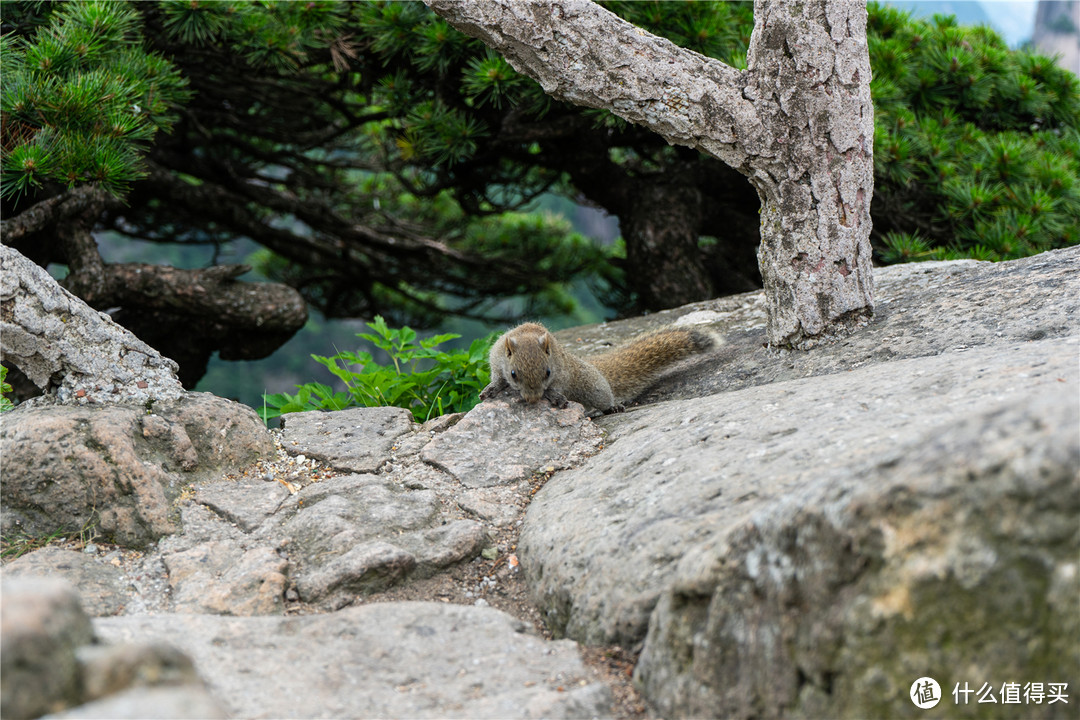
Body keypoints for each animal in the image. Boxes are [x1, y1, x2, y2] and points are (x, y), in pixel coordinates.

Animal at [479, 321, 712, 414]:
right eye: (513, 374)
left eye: (547, 372)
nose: (533, 400)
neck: (526, 337)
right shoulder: (496, 357)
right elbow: (496, 376)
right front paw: (492, 388)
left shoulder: (562, 373)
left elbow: (556, 387)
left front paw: (554, 396)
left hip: (593, 387)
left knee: (603, 400)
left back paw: (612, 407)